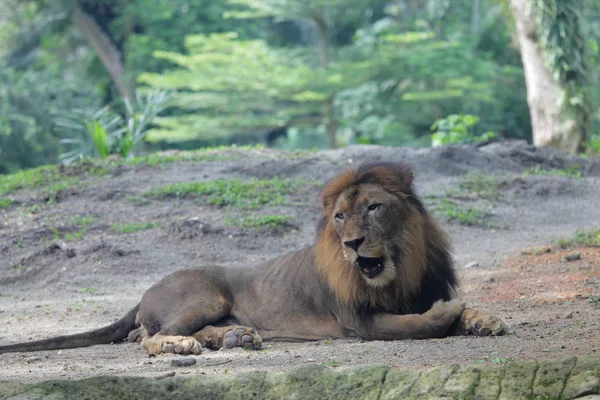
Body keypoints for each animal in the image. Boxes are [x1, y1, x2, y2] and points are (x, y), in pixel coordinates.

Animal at [0, 161, 506, 354]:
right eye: (340, 217)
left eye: (373, 208)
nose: (352, 244)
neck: (400, 270)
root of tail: (145, 289)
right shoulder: (357, 322)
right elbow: (414, 323)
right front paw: (450, 313)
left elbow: (449, 311)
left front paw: (484, 320)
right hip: (204, 294)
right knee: (146, 337)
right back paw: (183, 345)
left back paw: (234, 337)